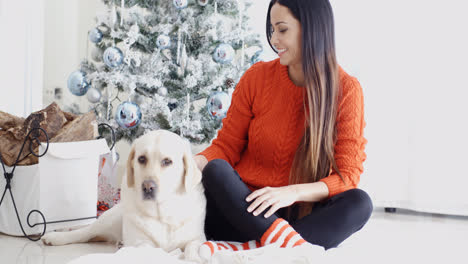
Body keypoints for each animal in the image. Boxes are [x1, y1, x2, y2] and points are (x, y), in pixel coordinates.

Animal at [41, 130, 207, 262]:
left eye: (167, 161)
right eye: (141, 159)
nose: (148, 187)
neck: (162, 214)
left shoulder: (198, 238)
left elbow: (193, 247)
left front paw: (196, 257)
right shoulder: (140, 242)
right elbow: (151, 249)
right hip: (110, 219)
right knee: (85, 232)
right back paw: (56, 237)